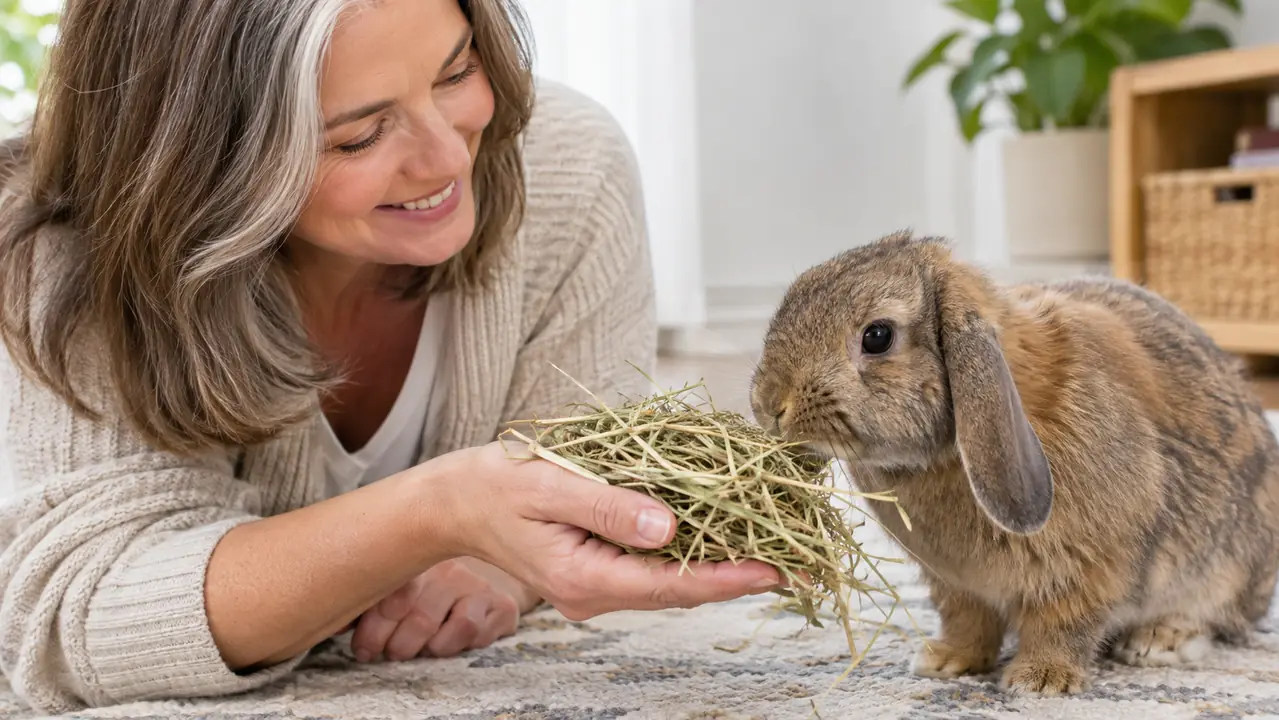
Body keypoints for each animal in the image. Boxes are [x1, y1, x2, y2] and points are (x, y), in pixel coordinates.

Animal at [748, 230, 1279, 696]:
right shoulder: (954, 584)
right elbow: (967, 621)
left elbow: (1062, 626)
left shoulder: (1088, 571)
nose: (769, 404)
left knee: (1217, 615)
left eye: (877, 336)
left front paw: (1040, 680)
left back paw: (1156, 642)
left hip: (1223, 568)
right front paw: (946, 660)